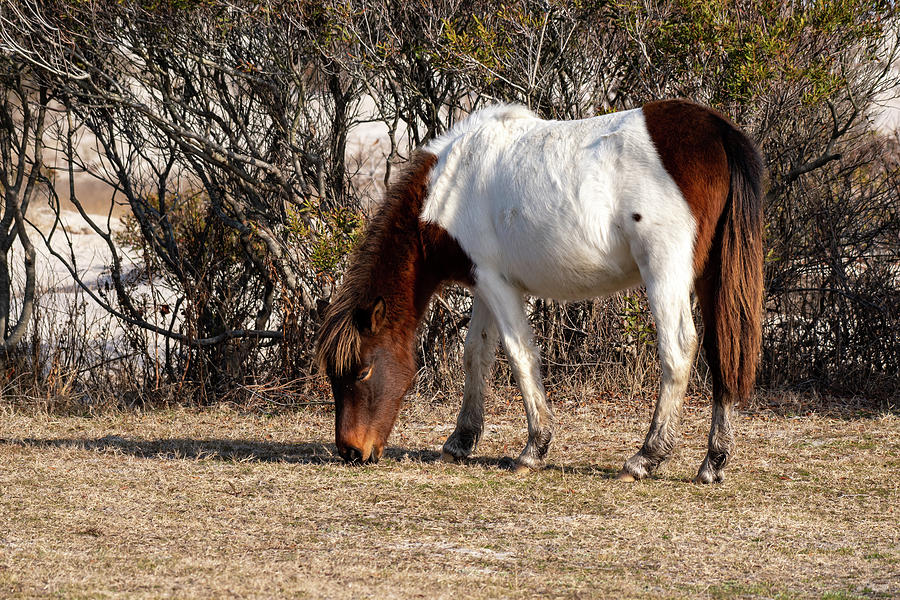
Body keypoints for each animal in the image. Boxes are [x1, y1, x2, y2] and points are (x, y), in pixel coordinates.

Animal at [316, 98, 768, 482]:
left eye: (363, 370)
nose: (351, 451)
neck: (452, 186)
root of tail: (715, 130)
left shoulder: (498, 284)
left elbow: (520, 357)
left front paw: (534, 449)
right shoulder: (483, 284)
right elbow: (475, 353)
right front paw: (461, 440)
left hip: (664, 272)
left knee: (678, 350)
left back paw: (646, 457)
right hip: (710, 276)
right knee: (722, 351)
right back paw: (713, 462)